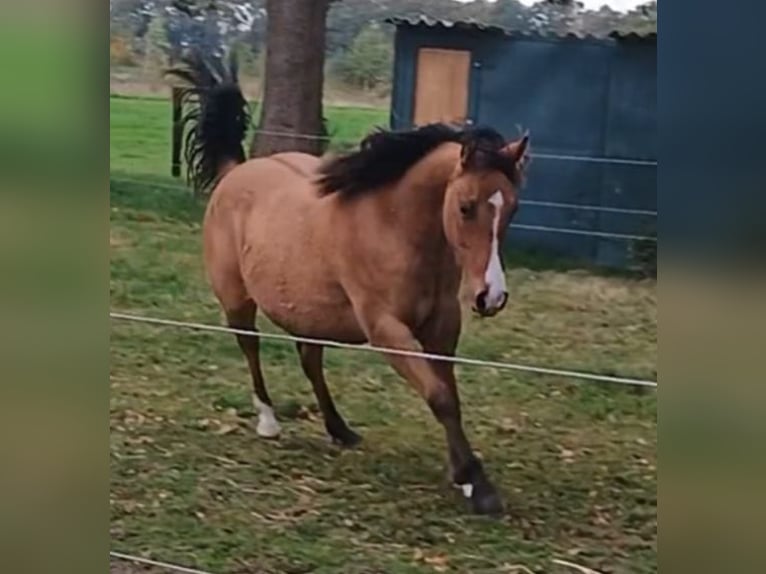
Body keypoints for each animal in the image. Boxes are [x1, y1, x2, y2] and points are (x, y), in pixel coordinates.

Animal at [171, 55, 532, 516]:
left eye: (513, 208)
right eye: (467, 207)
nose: (492, 296)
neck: (394, 226)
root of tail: (235, 171)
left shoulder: (442, 326)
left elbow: (448, 393)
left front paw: (463, 476)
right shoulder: (386, 329)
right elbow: (439, 396)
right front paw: (477, 483)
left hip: (307, 310)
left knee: (310, 360)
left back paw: (339, 429)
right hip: (237, 301)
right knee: (250, 347)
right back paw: (268, 420)